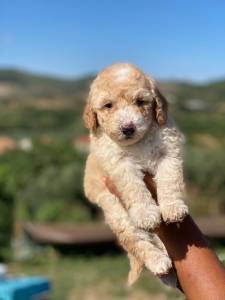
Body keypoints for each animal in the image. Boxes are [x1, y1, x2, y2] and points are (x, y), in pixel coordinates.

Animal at [82, 62, 188, 284]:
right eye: (108, 105)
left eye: (141, 102)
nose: (128, 128)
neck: (137, 143)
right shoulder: (118, 163)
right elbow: (133, 186)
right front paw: (146, 213)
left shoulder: (168, 151)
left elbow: (170, 179)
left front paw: (173, 207)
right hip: (116, 212)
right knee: (136, 241)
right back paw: (159, 264)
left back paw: (168, 274)